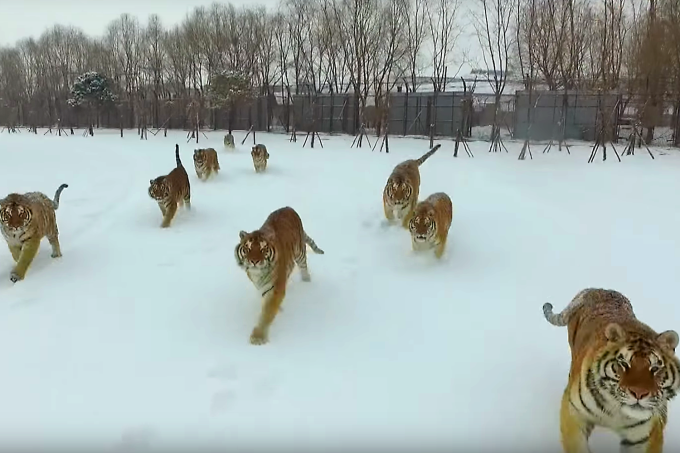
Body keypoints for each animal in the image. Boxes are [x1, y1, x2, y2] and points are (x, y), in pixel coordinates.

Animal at [235, 207, 326, 344]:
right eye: (248, 248)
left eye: (263, 249)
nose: (254, 261)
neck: (258, 274)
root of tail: (288, 207)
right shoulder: (263, 287)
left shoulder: (275, 288)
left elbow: (267, 313)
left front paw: (258, 337)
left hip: (300, 252)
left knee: (304, 269)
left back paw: (307, 282)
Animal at [540, 288, 680, 452]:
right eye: (624, 363)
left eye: (655, 368)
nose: (639, 393)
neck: (616, 413)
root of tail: (597, 289)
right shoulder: (573, 412)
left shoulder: (646, 435)